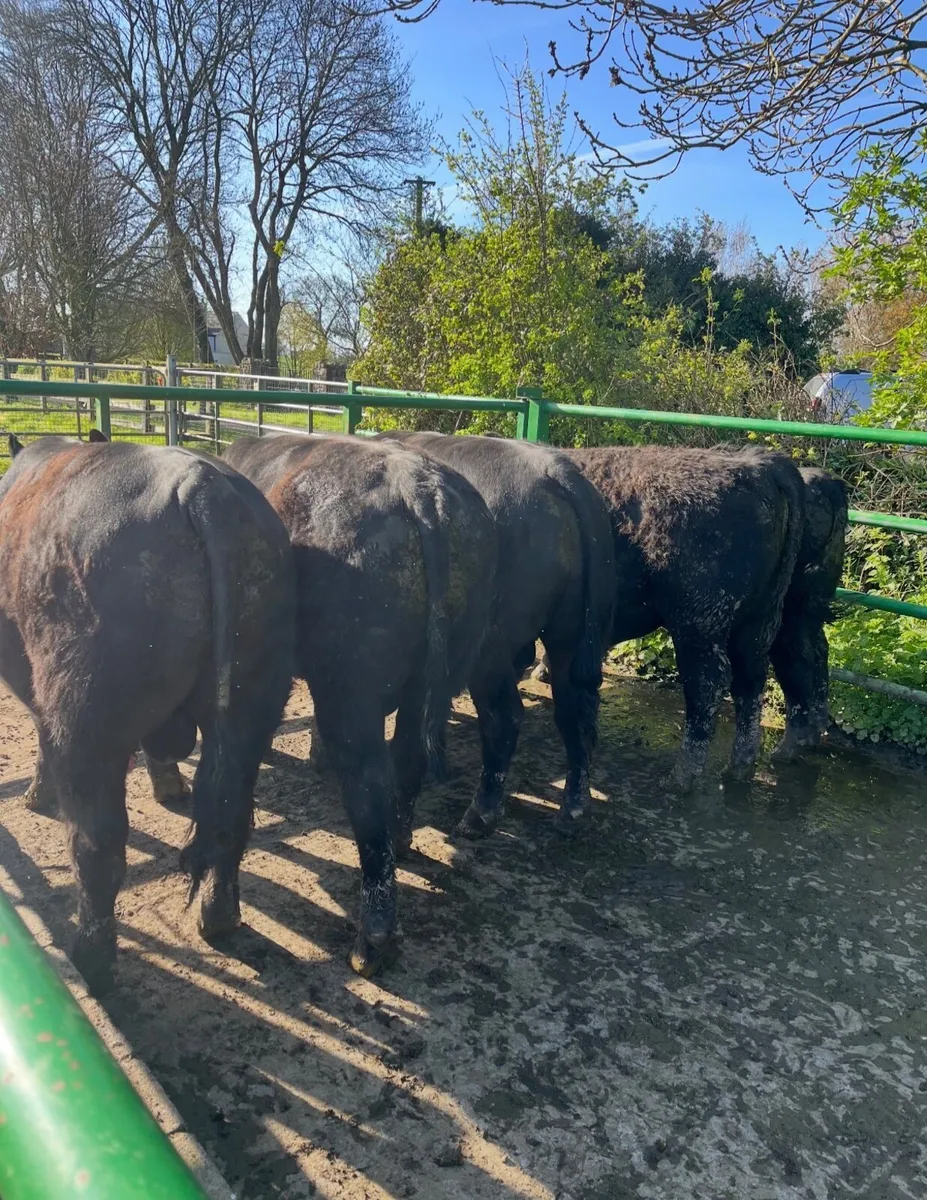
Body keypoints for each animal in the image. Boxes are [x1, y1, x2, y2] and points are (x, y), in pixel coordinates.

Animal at [0, 433, 295, 992]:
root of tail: (203, 486)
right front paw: (168, 784)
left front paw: (34, 794)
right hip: (252, 704)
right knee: (228, 816)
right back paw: (218, 917)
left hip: (86, 720)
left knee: (98, 844)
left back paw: (91, 959)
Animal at [223, 434, 497, 977]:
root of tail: (416, 484)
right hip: (436, 673)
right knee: (408, 759)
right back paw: (403, 840)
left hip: (352, 689)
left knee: (367, 781)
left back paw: (373, 939)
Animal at [375, 432, 615, 836]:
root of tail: (553, 469)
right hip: (569, 632)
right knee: (575, 712)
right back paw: (573, 806)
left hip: (490, 647)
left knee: (503, 716)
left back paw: (481, 811)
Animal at [534, 446, 806, 792]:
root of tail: (755, 465)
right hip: (755, 623)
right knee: (750, 682)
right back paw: (739, 768)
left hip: (698, 626)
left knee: (707, 685)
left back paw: (680, 777)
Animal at [769, 467, 848, 761]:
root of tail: (828, 482)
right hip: (808, 605)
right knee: (818, 649)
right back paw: (817, 727)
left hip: (788, 606)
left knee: (796, 656)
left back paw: (791, 745)